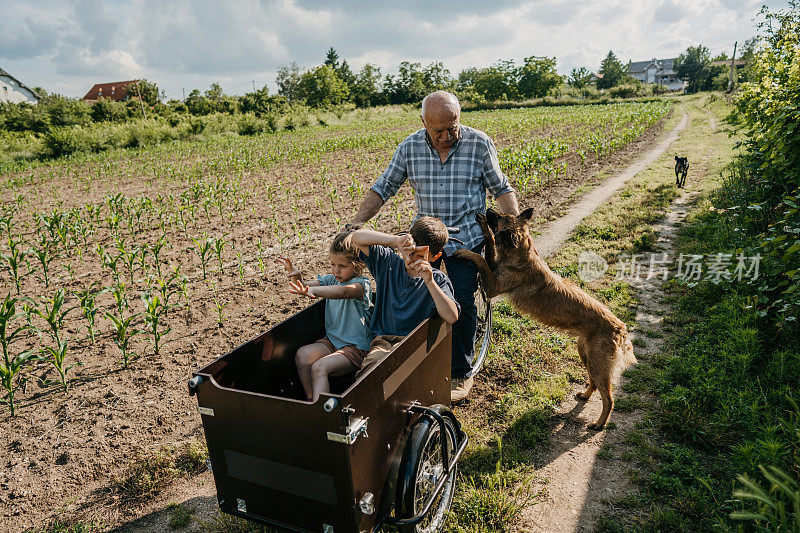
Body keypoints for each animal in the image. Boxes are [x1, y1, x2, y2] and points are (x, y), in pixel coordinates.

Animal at [456, 207, 636, 428]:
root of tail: (620, 327)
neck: (522, 256)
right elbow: (488, 249)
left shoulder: (492, 287)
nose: (488, 208)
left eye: (501, 217)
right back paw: (585, 395)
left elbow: (481, 257)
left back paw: (599, 424)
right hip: (586, 355)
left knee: (609, 398)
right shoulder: (494, 270)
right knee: (594, 383)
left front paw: (468, 250)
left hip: (597, 363)